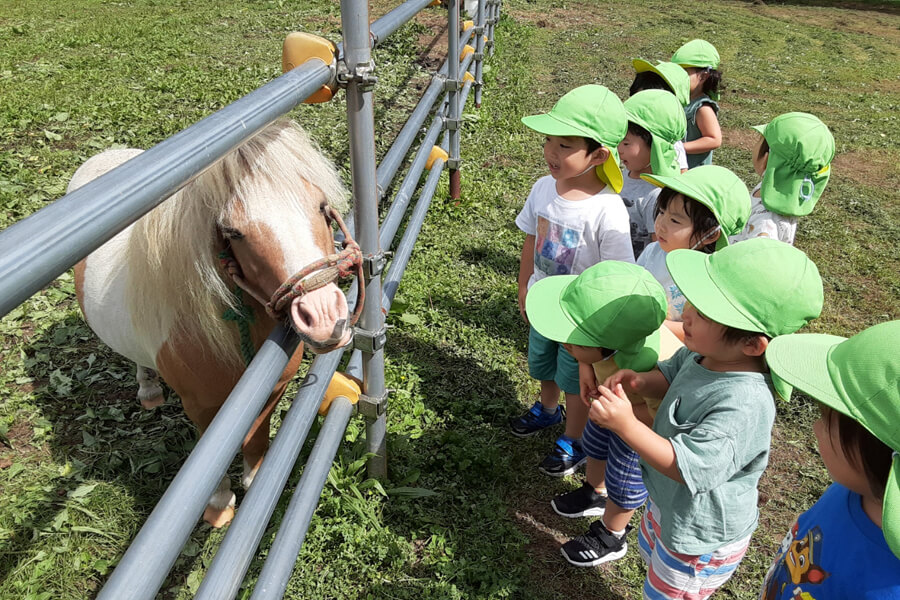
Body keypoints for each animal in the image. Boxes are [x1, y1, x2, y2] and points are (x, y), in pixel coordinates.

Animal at [68, 120, 356, 524]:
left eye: (319, 204)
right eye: (233, 232)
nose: (325, 318)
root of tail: (108, 154)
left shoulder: (272, 389)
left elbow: (256, 438)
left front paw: (255, 481)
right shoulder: (201, 407)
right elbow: (210, 461)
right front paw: (219, 506)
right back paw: (149, 391)